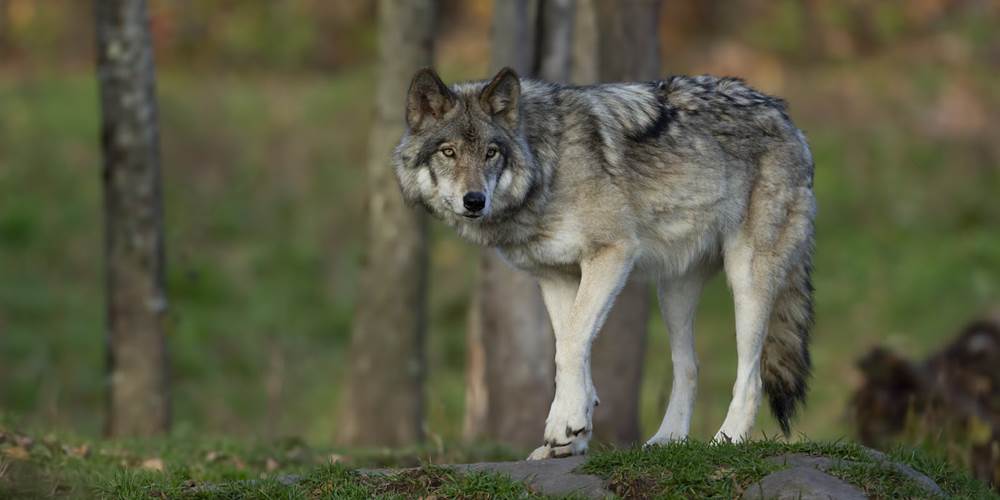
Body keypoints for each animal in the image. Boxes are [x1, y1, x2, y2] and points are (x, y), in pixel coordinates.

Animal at [393, 67, 815, 460]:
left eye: (490, 152)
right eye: (448, 152)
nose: (474, 200)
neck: (548, 164)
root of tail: (786, 117)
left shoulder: (613, 253)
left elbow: (571, 343)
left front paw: (564, 424)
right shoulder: (556, 276)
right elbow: (570, 346)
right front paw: (572, 434)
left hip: (747, 281)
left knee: (750, 376)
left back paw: (726, 441)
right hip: (673, 293)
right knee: (689, 367)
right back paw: (667, 441)